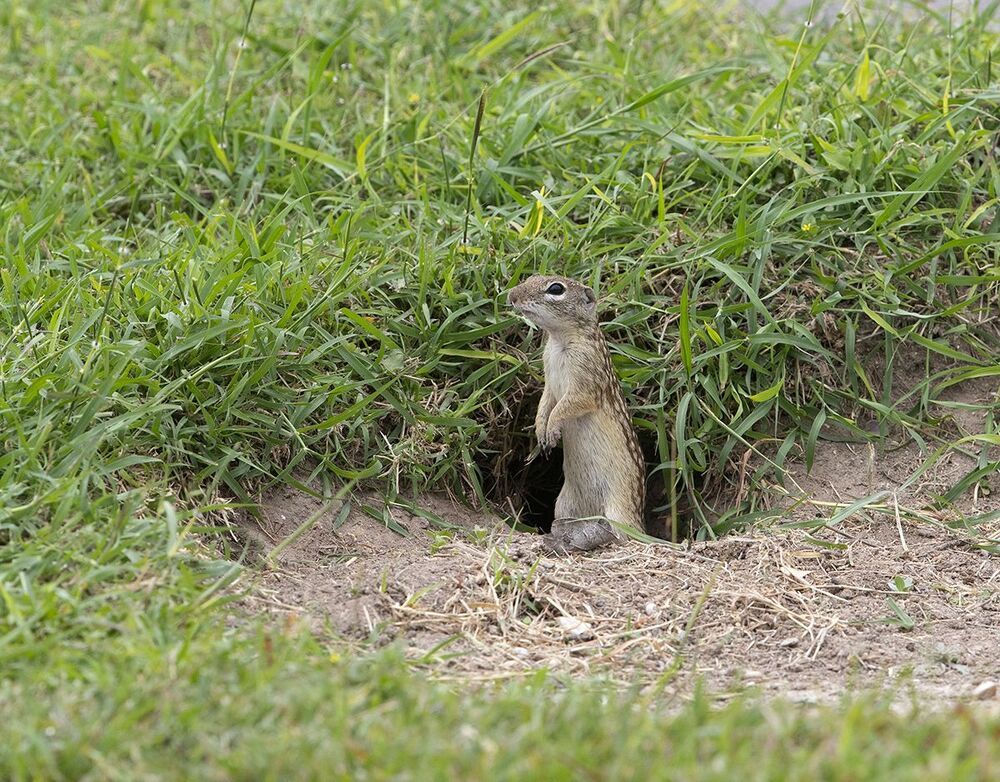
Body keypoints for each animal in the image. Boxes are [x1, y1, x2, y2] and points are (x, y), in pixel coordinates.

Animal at [508, 274, 646, 552]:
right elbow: (545, 404)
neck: (559, 339)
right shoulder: (550, 383)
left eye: (556, 289)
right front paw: (541, 431)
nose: (511, 296)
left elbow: (567, 405)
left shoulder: (585, 382)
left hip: (618, 510)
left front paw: (552, 430)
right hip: (565, 506)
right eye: (531, 277)